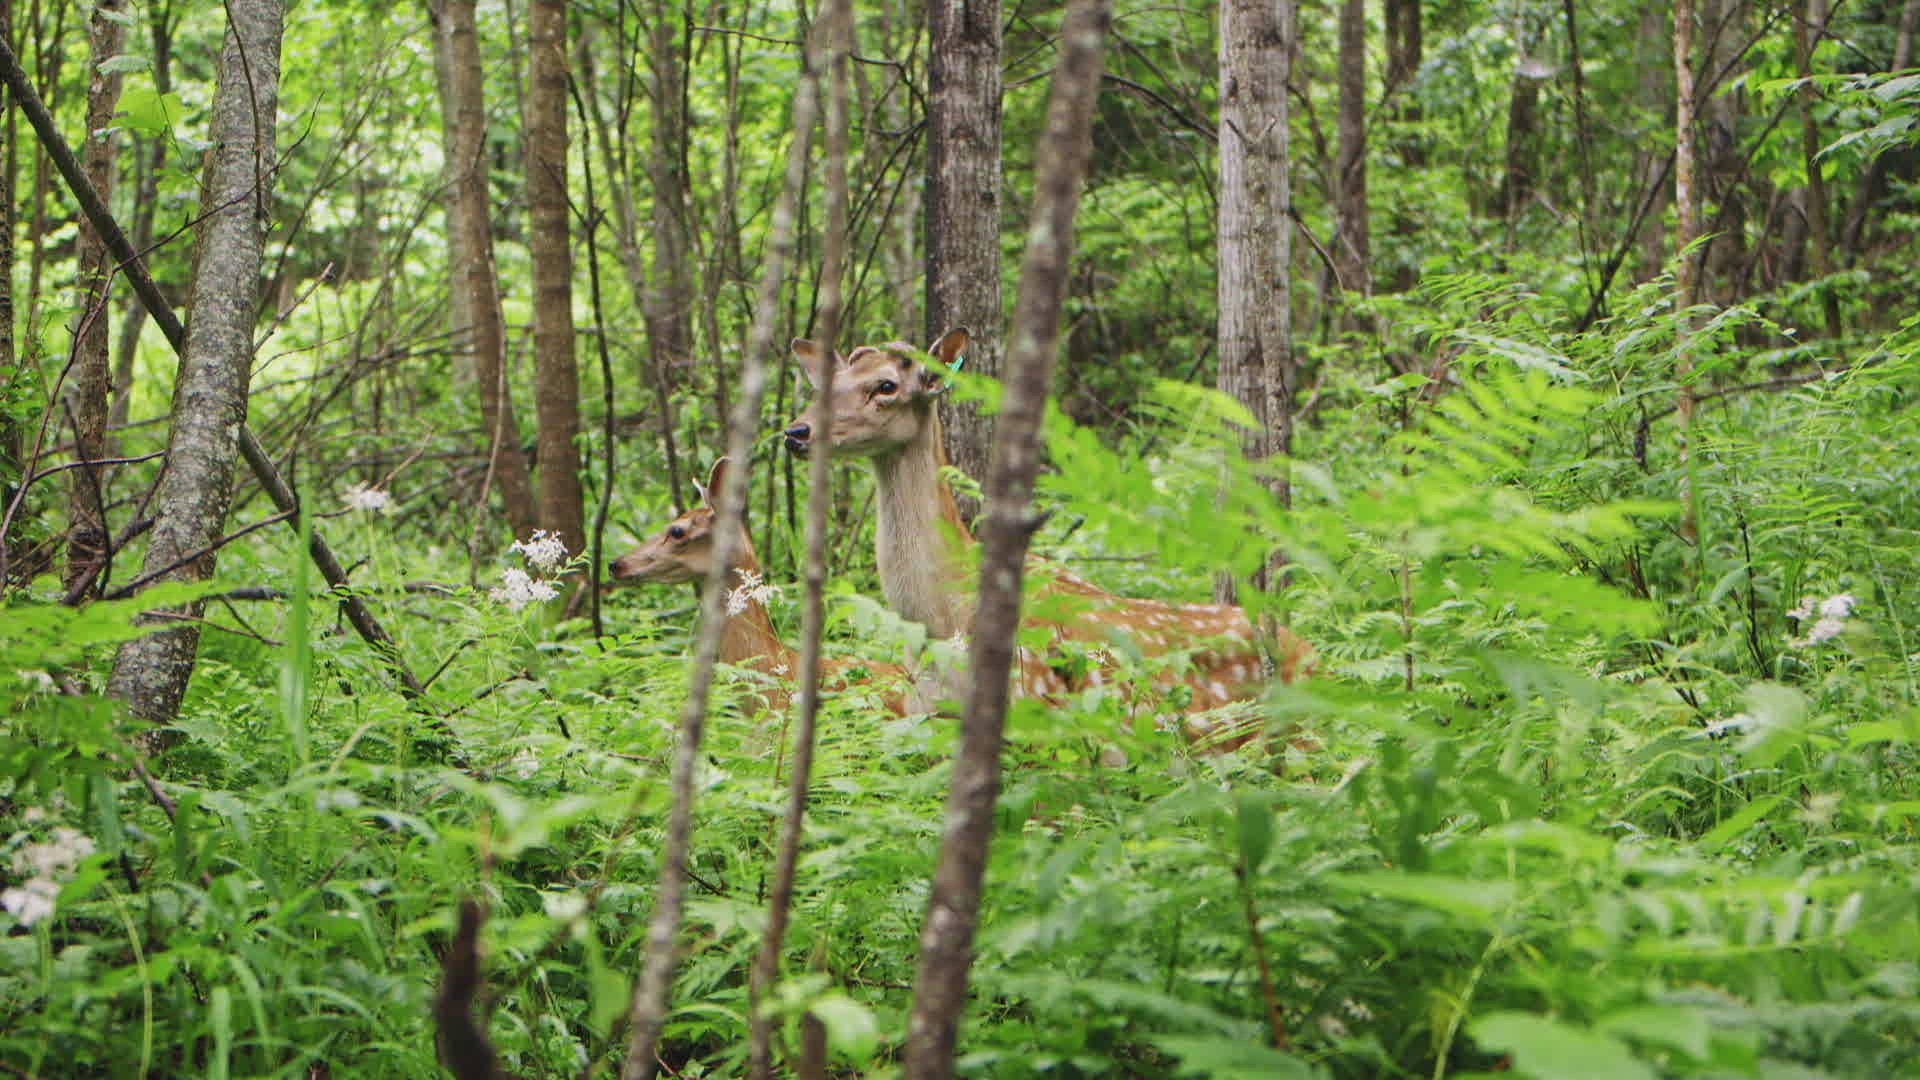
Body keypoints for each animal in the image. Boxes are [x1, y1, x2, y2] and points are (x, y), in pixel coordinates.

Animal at [781, 328, 1312, 749]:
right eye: (825, 383)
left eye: (886, 385)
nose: (796, 431)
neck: (940, 619)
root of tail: (1312, 651)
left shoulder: (1034, 709)